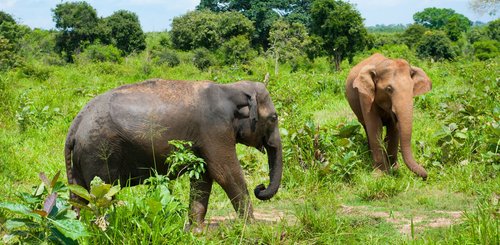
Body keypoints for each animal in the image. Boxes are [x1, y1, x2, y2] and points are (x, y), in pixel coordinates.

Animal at [65, 79, 284, 232]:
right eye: (274, 118)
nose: (260, 187)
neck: (230, 88)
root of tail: (76, 124)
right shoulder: (215, 129)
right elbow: (225, 173)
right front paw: (252, 227)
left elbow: (204, 176)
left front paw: (196, 231)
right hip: (99, 152)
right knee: (102, 194)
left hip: (82, 158)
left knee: (79, 196)